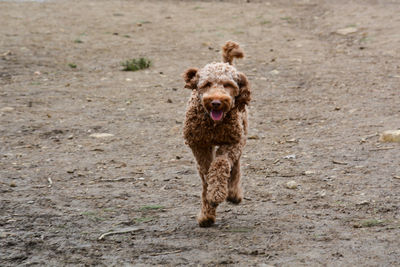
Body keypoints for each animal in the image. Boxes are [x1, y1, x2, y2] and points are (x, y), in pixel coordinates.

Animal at [183, 40, 252, 227]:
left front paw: (217, 193)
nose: (216, 102)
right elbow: (206, 172)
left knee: (235, 166)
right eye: (207, 84)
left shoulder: (233, 142)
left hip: (241, 136)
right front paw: (207, 212)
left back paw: (233, 193)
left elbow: (220, 164)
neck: (214, 125)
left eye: (228, 85)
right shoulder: (198, 144)